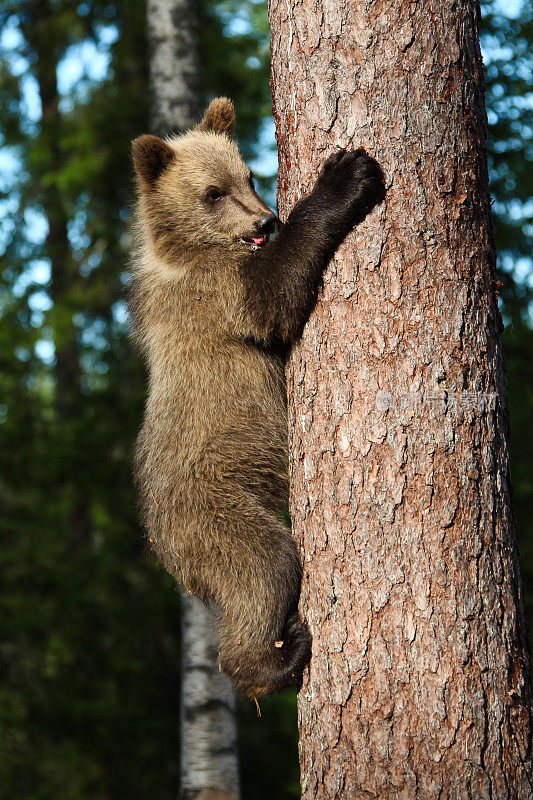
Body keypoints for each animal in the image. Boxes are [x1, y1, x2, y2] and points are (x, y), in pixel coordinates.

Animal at [131, 97, 384, 692]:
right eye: (212, 192)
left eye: (247, 175)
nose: (265, 218)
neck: (185, 249)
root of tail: (163, 547)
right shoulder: (216, 292)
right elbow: (277, 292)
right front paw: (347, 174)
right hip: (215, 511)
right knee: (264, 568)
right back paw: (273, 659)